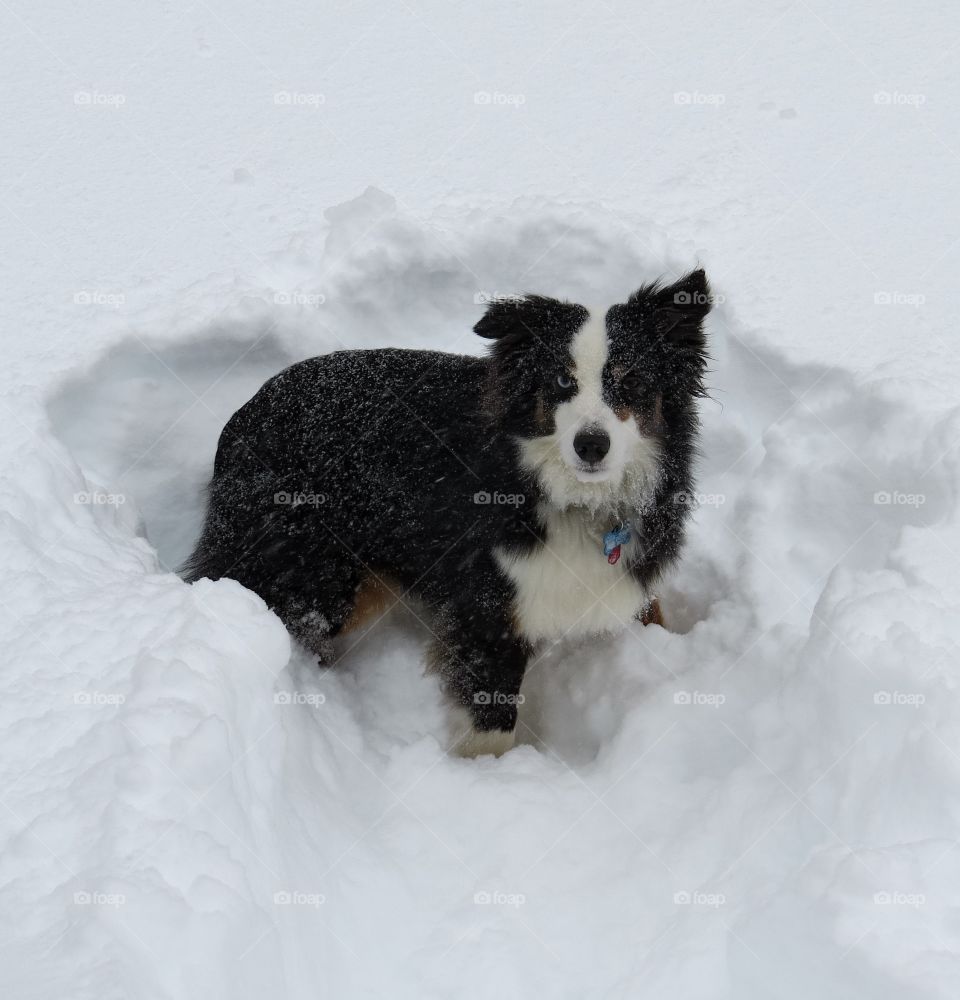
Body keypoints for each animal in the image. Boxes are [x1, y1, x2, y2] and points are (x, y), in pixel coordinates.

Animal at [184, 270, 712, 752]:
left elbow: (650, 612)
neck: (575, 499)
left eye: (632, 381)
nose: (591, 446)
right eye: (562, 379)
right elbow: (492, 721)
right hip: (317, 570)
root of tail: (243, 416)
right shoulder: (485, 607)